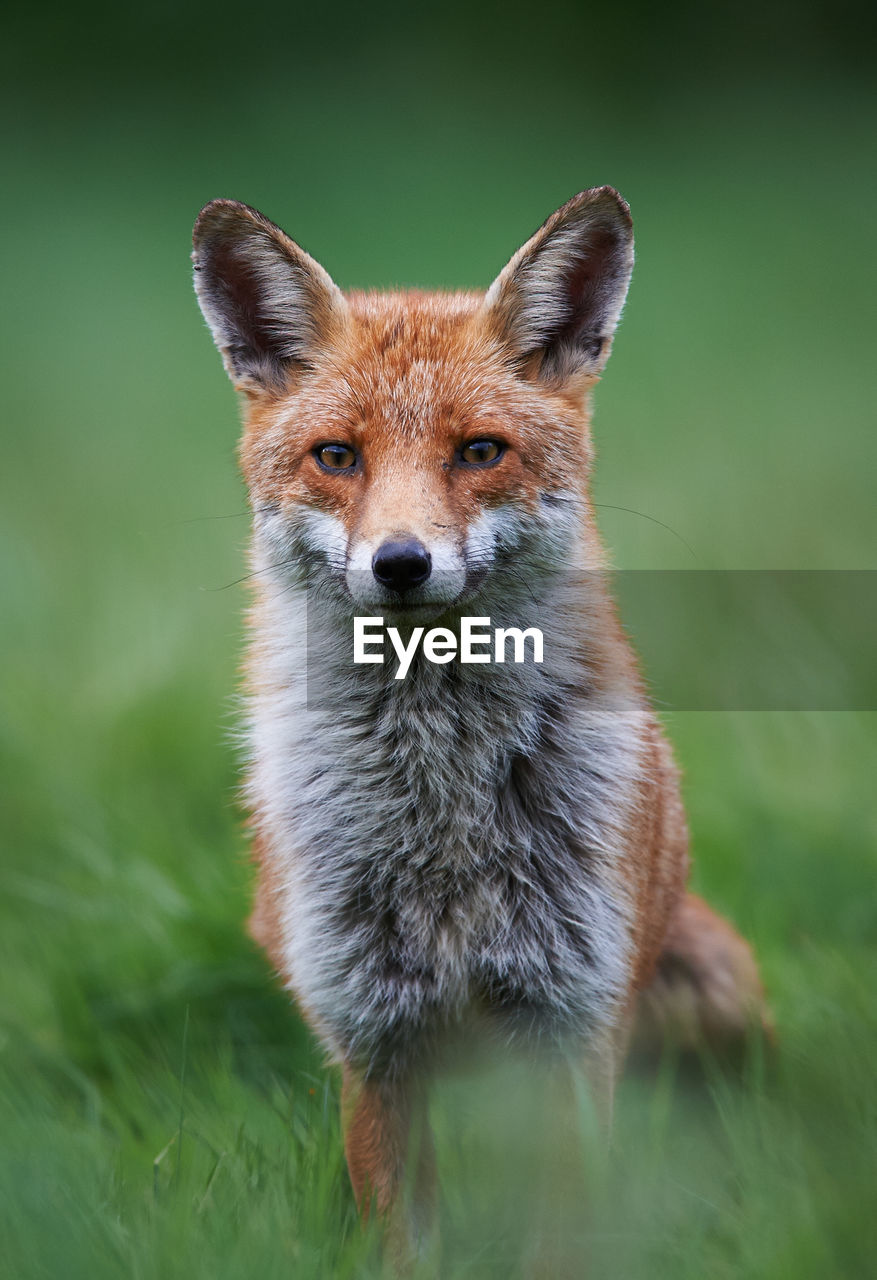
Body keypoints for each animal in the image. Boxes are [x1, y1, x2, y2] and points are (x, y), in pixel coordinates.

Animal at [189, 185, 768, 1264]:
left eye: (479, 451)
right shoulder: (375, 1042)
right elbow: (405, 1244)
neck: (441, 822)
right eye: (337, 457)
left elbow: (561, 1240)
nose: (400, 563)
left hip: (711, 1000)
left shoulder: (570, 1028)